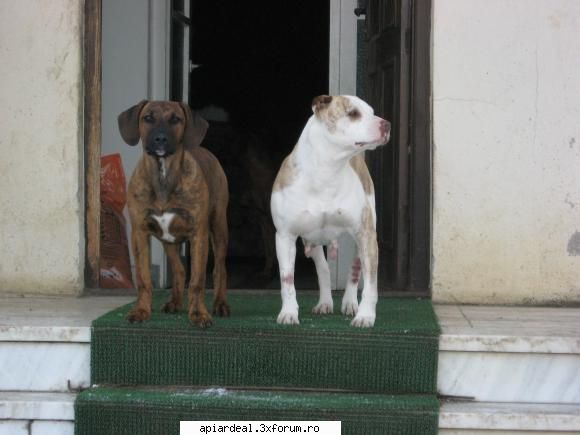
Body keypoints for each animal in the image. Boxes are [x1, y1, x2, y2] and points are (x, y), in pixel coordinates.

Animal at [270, 95, 390, 328]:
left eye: (372, 112)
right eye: (353, 113)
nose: (386, 125)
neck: (327, 170)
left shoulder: (366, 234)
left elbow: (371, 283)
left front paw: (366, 315)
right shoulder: (285, 236)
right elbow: (287, 280)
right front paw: (289, 312)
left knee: (355, 270)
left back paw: (350, 303)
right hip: (313, 239)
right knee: (323, 268)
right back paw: (325, 302)